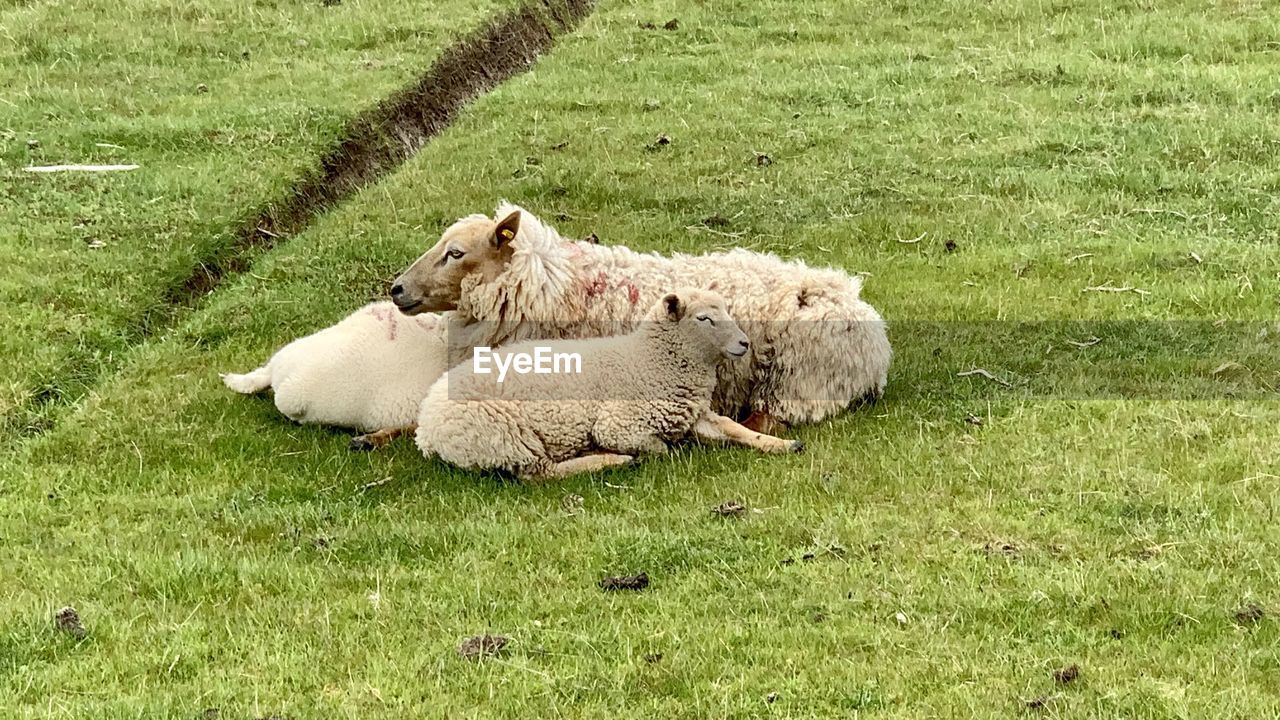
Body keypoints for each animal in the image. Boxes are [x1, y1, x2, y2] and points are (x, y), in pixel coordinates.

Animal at [417, 285, 798, 476]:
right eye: (704, 318)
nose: (744, 343)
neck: (649, 361)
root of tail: (425, 428)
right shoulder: (619, 425)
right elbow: (659, 448)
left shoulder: (695, 414)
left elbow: (736, 429)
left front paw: (781, 444)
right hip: (505, 437)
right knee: (542, 474)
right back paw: (608, 461)